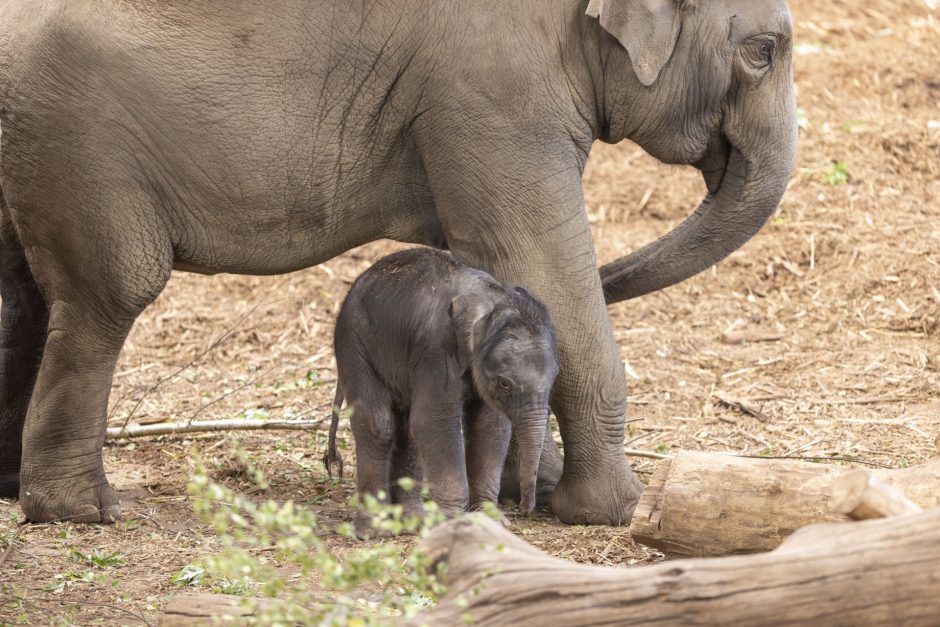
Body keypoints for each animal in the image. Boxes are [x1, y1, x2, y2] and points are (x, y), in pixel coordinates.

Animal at [324, 248, 560, 532]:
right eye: (504, 383)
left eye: (556, 375)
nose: (525, 510)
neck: (492, 297)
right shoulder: (436, 350)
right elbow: (434, 421)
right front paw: (454, 522)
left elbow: (489, 426)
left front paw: (491, 521)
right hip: (355, 346)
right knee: (378, 426)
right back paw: (373, 530)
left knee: (408, 432)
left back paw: (412, 522)